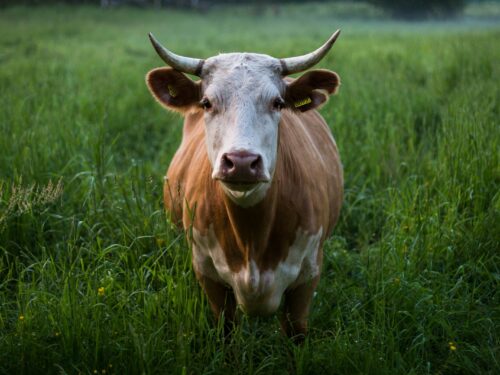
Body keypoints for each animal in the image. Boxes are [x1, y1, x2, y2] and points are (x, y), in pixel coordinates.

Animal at [146, 31, 344, 344]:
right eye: (206, 103)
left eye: (277, 103)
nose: (241, 162)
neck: (252, 238)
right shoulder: (209, 276)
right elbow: (226, 331)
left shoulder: (307, 278)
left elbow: (296, 333)